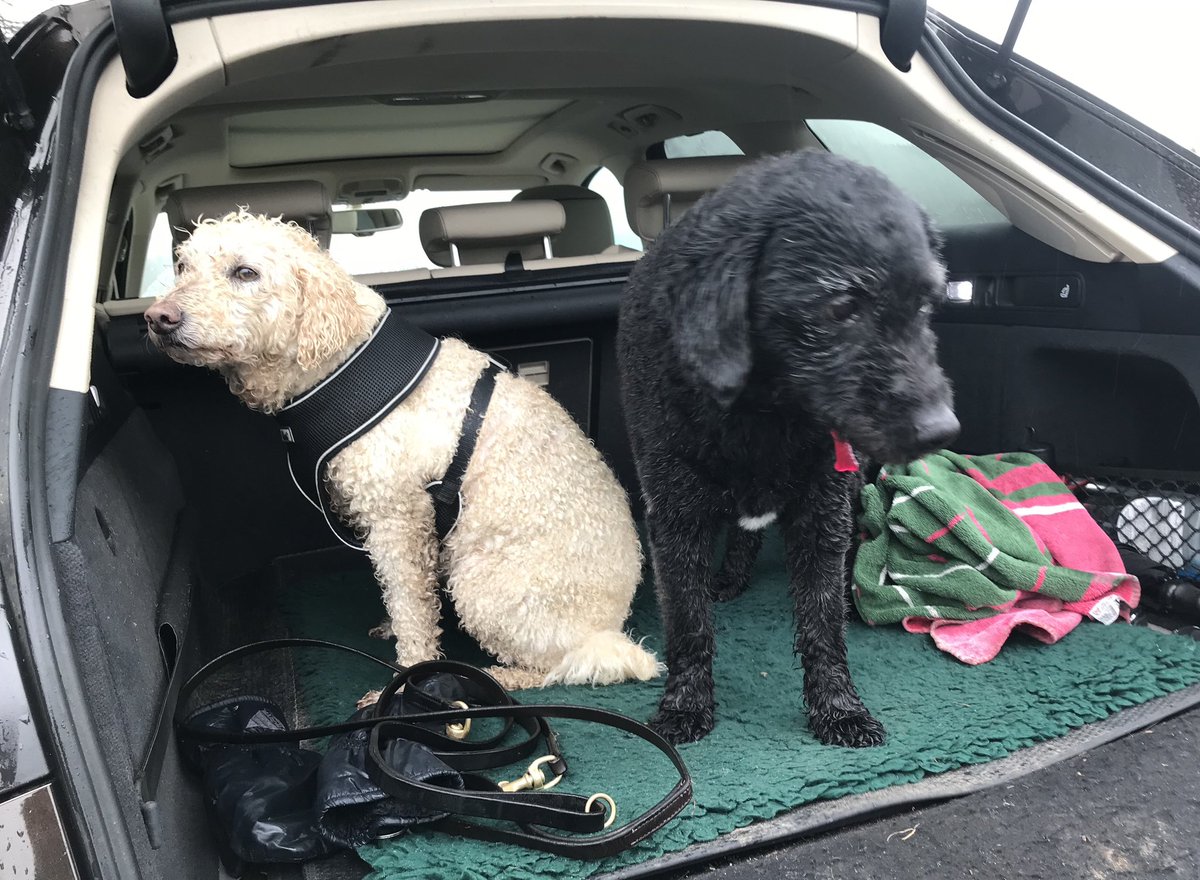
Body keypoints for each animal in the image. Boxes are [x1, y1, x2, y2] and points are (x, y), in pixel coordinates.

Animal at [145, 211, 662, 686]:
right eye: (182, 265)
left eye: (245, 272)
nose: (158, 318)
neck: (344, 360)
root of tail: (609, 628)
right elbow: (405, 596)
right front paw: (394, 630)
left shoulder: (398, 518)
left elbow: (411, 606)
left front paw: (409, 676)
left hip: (485, 585)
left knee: (559, 666)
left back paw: (502, 676)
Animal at [624, 149, 960, 739]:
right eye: (841, 304)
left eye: (926, 304)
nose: (942, 430)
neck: (762, 413)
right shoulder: (674, 519)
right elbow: (688, 623)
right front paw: (685, 706)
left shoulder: (823, 511)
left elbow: (822, 623)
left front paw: (839, 708)